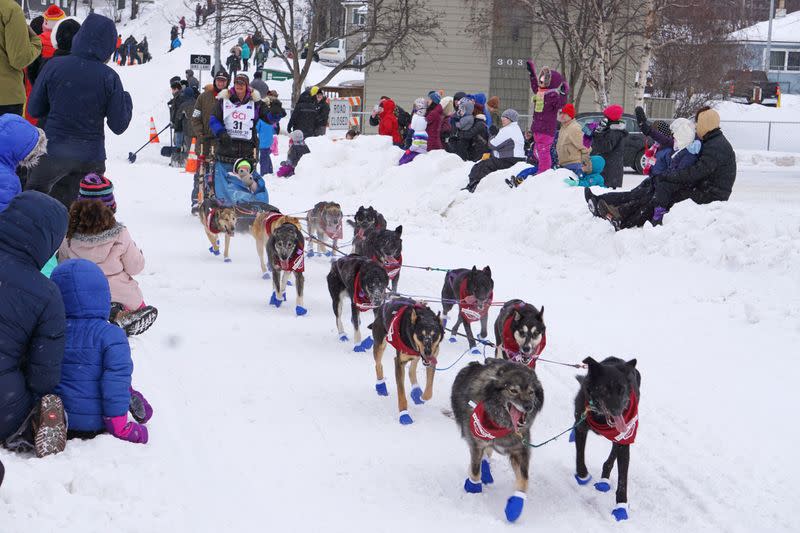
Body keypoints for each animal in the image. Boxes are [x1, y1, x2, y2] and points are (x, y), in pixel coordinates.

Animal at [368, 298, 444, 426]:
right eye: (421, 335)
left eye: (434, 335)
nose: (428, 352)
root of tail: (384, 305)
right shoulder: (399, 362)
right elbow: (401, 394)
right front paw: (404, 415)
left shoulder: (431, 360)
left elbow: (429, 391)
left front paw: (421, 397)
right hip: (380, 345)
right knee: (378, 365)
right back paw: (381, 386)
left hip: (416, 356)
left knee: (412, 370)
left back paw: (416, 391)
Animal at [450, 356, 544, 520]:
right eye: (513, 390)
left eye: (531, 392)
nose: (528, 406)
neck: (502, 424)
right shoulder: (477, 443)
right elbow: (475, 470)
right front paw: (474, 489)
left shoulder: (520, 449)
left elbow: (524, 479)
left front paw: (515, 506)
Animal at [572, 354, 640, 520]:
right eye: (604, 389)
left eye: (622, 390)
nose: (618, 411)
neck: (601, 417)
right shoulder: (580, 425)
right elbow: (580, 454)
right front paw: (582, 475)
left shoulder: (624, 440)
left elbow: (623, 478)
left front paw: (621, 505)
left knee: (612, 455)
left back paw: (604, 478)